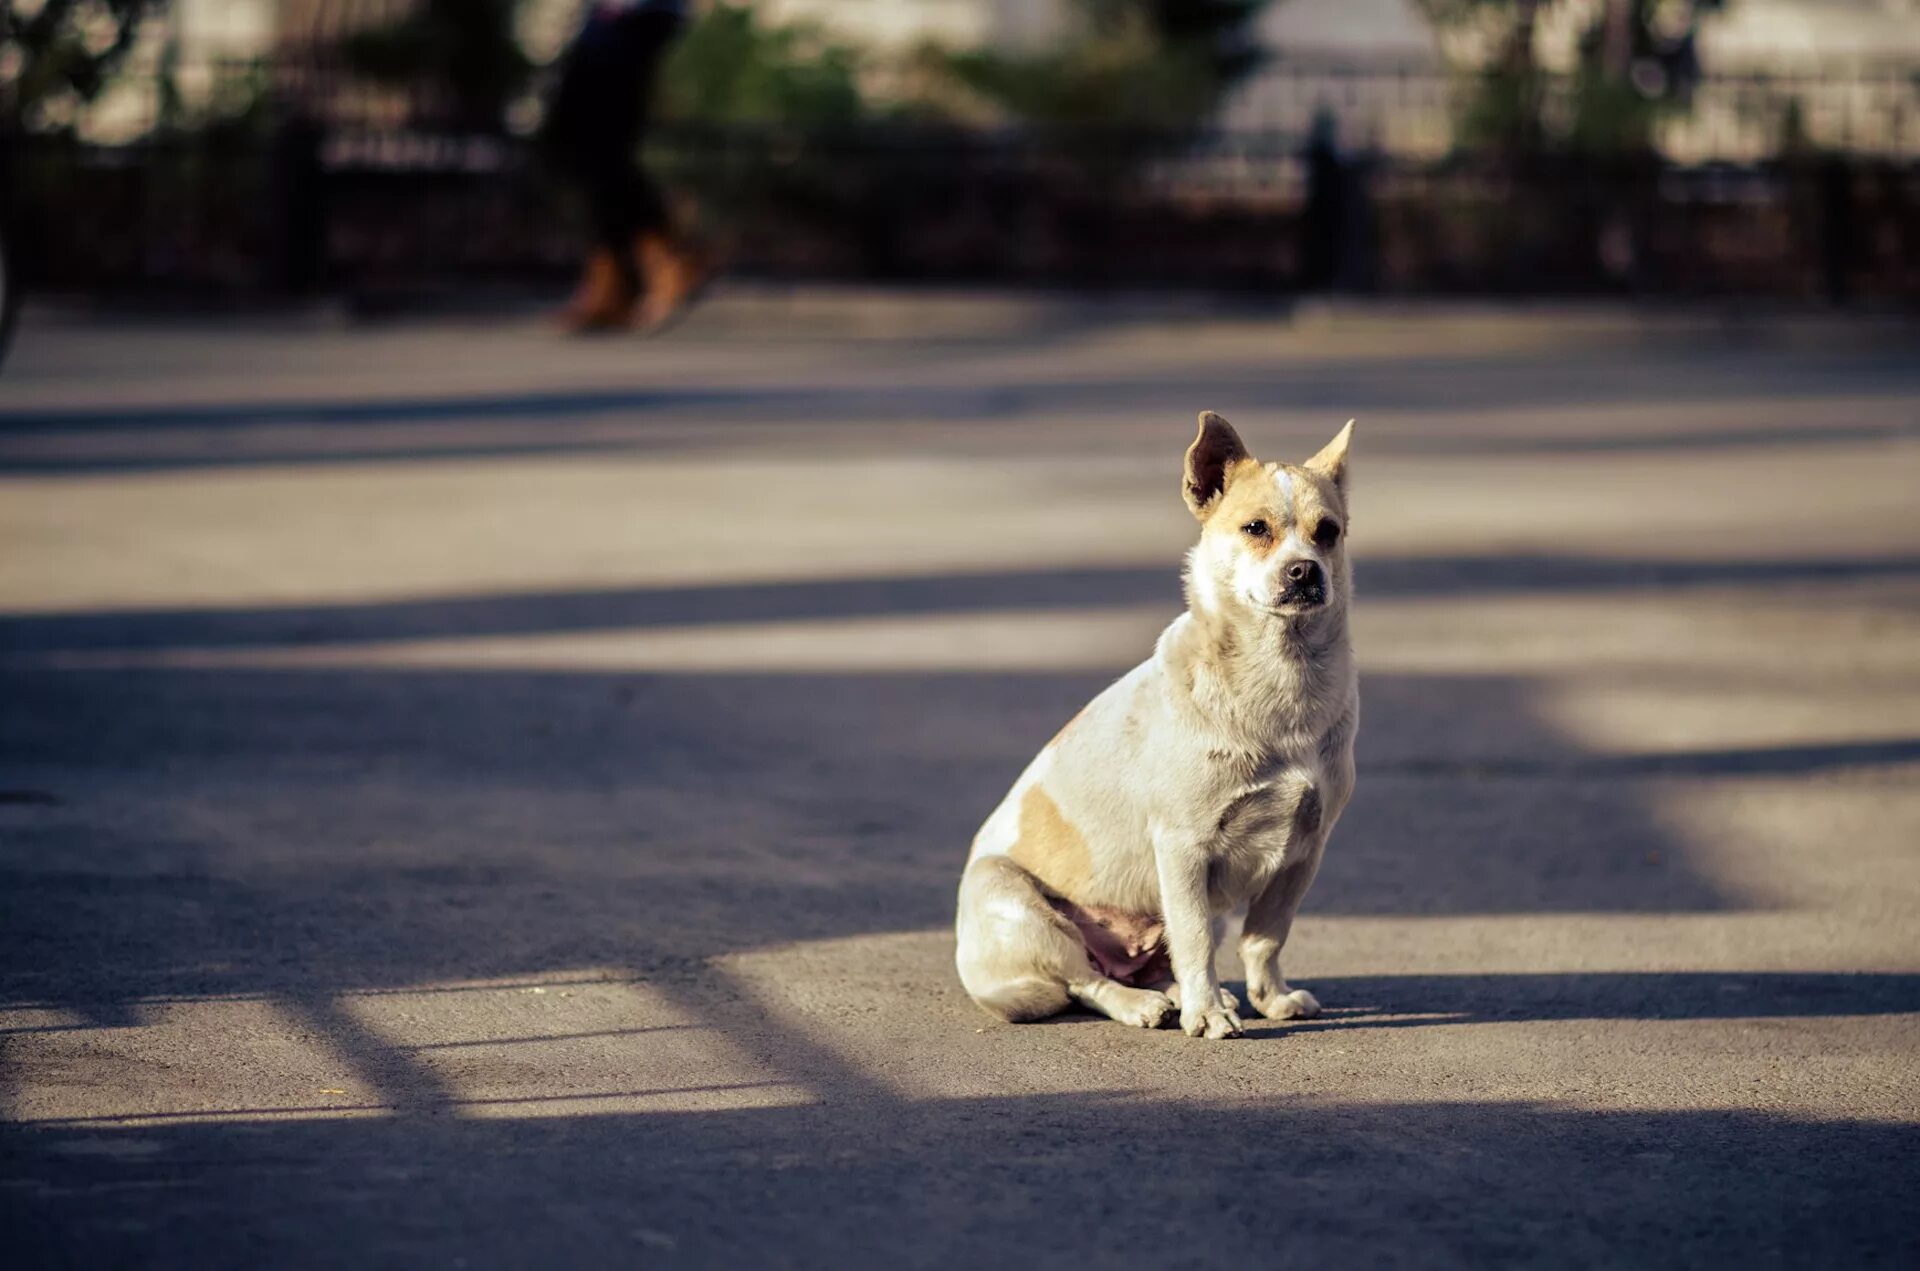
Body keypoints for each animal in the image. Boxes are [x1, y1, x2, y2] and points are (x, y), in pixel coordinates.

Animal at [956, 412, 1351, 1044]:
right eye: (1256, 528)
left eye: (1329, 533)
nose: (1305, 570)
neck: (1281, 676)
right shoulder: (1184, 848)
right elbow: (1193, 940)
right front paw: (1208, 1016)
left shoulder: (1303, 854)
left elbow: (1265, 938)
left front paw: (1269, 999)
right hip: (1016, 900)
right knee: (1086, 981)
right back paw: (1148, 1004)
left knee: (1161, 964)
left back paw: (1179, 995)